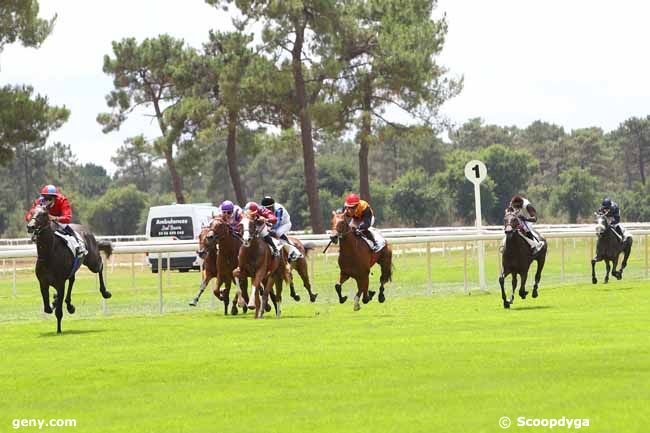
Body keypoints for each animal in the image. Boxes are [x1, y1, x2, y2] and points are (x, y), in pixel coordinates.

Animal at [26, 204, 112, 332]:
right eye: (31, 212)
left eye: (44, 214)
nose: (30, 226)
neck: (48, 255)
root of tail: (86, 229)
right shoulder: (43, 283)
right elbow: (47, 308)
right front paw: (55, 301)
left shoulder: (60, 283)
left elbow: (58, 311)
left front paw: (59, 330)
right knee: (72, 280)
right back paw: (69, 305)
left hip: (92, 262)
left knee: (100, 266)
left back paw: (105, 292)